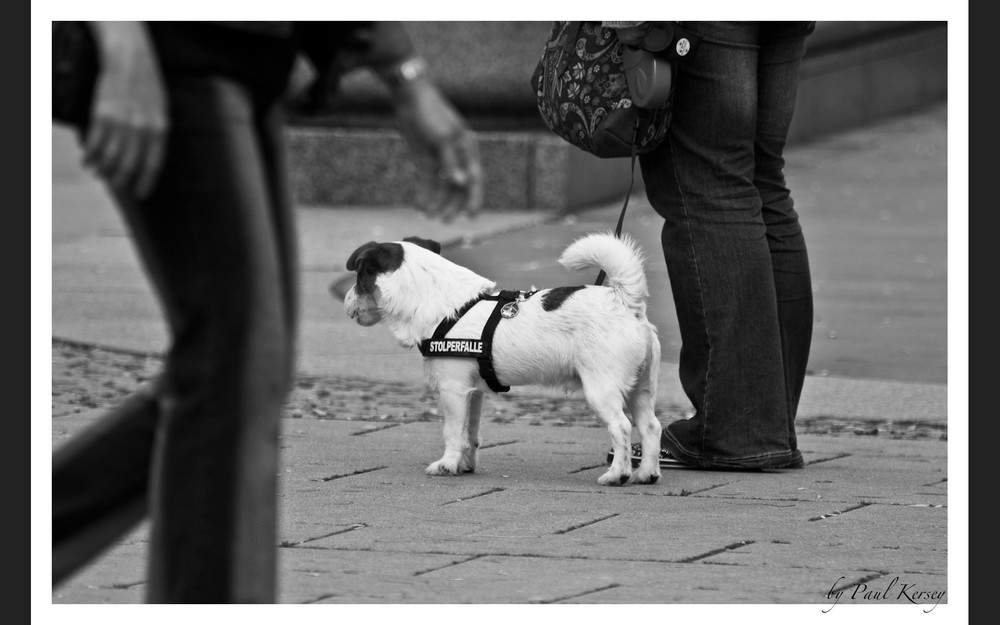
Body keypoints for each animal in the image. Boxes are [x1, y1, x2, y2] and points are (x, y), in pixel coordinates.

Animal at [344, 232, 664, 486]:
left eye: (358, 278)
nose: (346, 301)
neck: (444, 304)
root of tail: (624, 301)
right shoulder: (472, 393)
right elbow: (469, 433)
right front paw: (465, 465)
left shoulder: (452, 390)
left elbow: (452, 432)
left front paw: (447, 465)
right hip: (641, 389)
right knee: (651, 427)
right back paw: (646, 473)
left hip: (601, 389)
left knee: (621, 427)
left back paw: (617, 475)